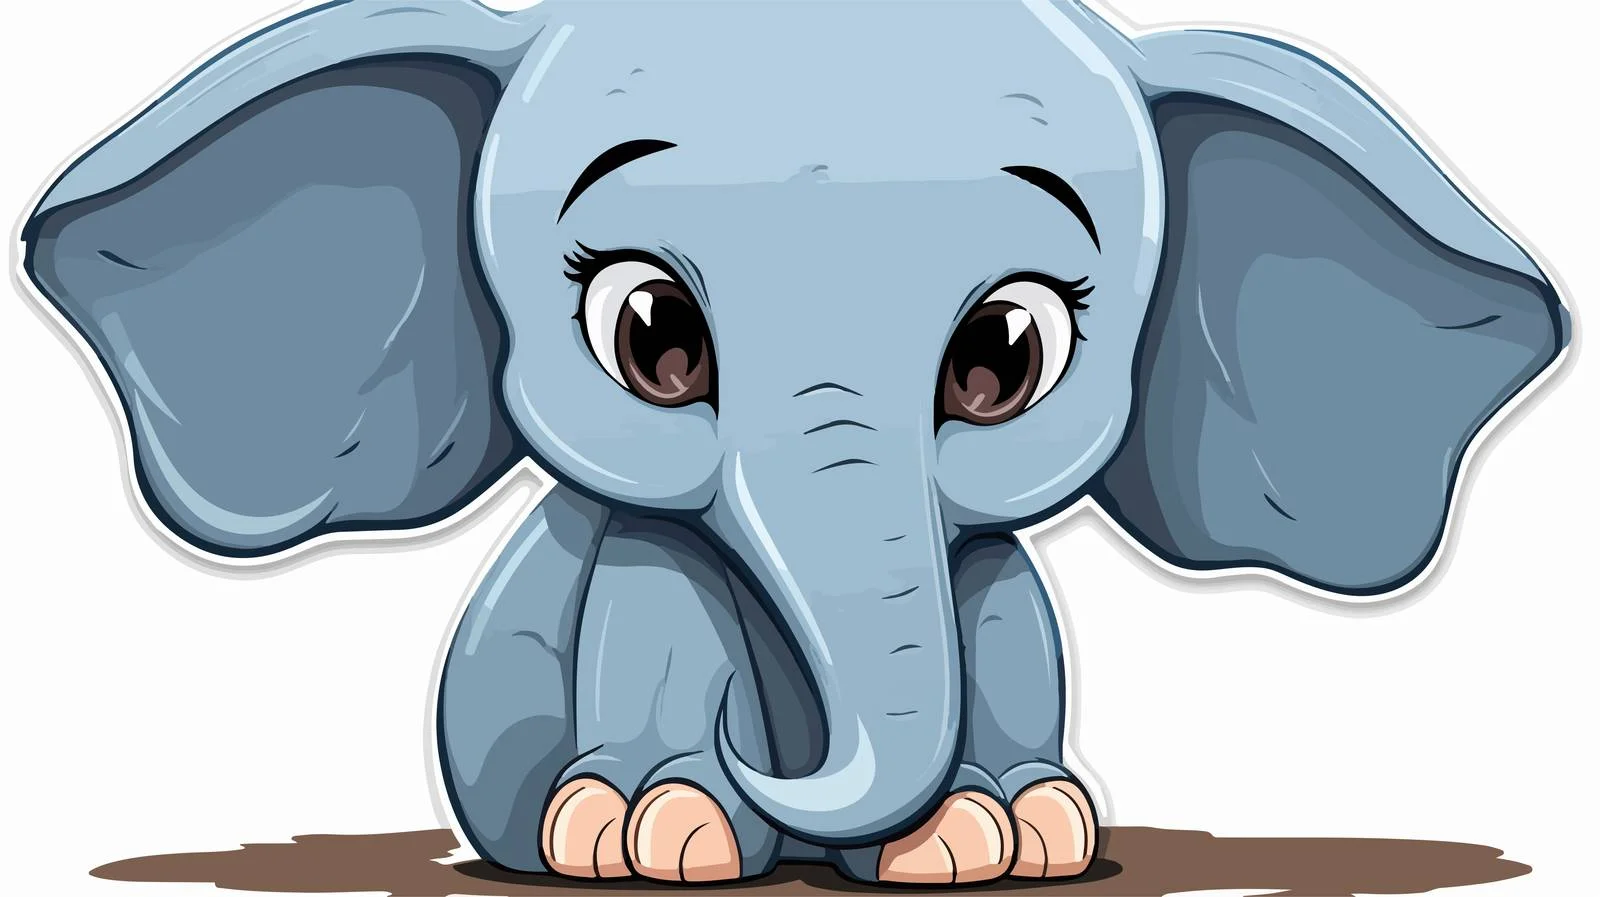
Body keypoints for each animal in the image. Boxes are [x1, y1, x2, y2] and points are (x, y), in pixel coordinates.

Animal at [19, 0, 1569, 887]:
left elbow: (1006, 627)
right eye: (653, 335)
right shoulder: (645, 560)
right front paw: (656, 835)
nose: (790, 780)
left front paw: (997, 839)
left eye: (1004, 360)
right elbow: (659, 614)